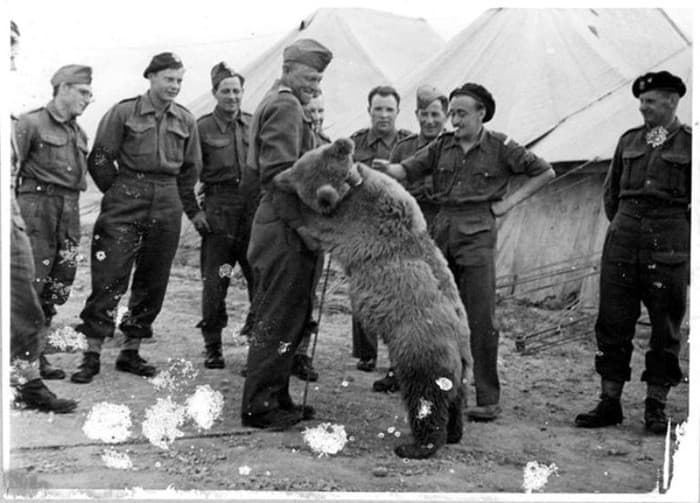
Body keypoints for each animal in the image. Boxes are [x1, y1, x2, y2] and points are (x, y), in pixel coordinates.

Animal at [274, 138, 470, 460]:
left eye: (295, 169)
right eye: (299, 160)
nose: (277, 177)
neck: (352, 187)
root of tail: (460, 347)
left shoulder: (352, 223)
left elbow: (315, 224)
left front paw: (284, 203)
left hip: (420, 346)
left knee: (424, 396)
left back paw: (416, 445)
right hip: (460, 364)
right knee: (455, 399)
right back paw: (455, 432)